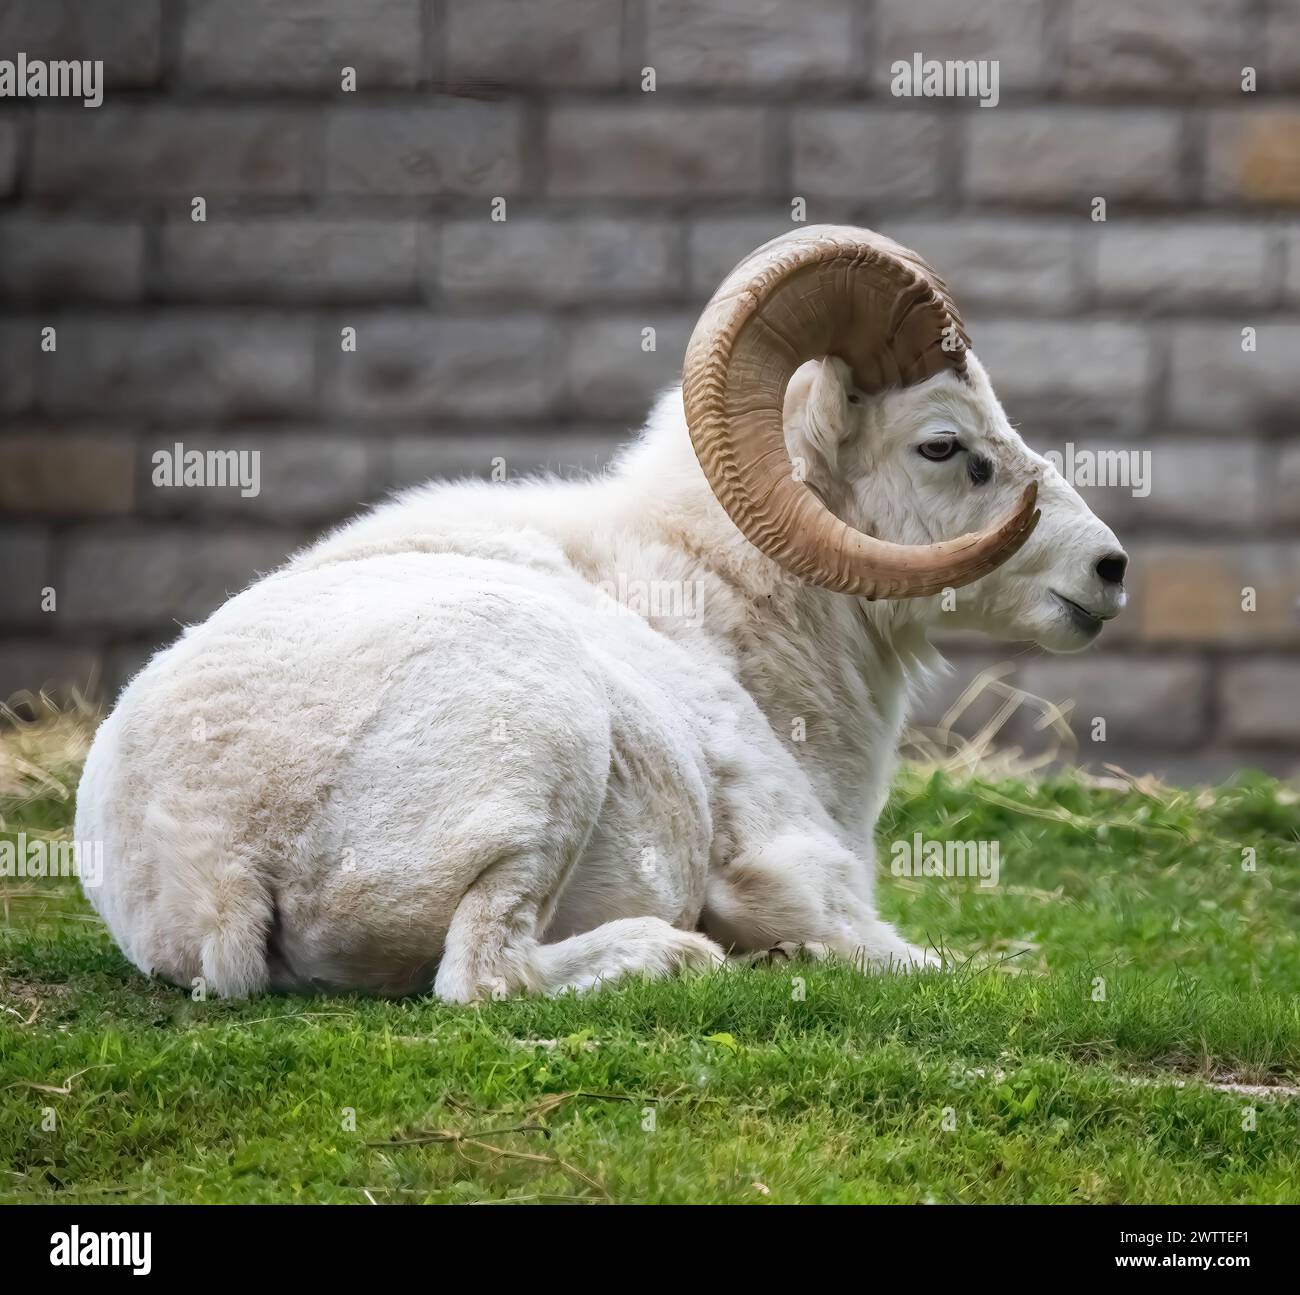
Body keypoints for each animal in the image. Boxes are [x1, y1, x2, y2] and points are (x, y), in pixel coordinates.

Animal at [73, 224, 1128, 1003]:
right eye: (945, 446)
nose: (1109, 570)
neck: (730, 609)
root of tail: (223, 861)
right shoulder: (800, 872)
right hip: (546, 756)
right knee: (485, 978)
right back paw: (679, 955)